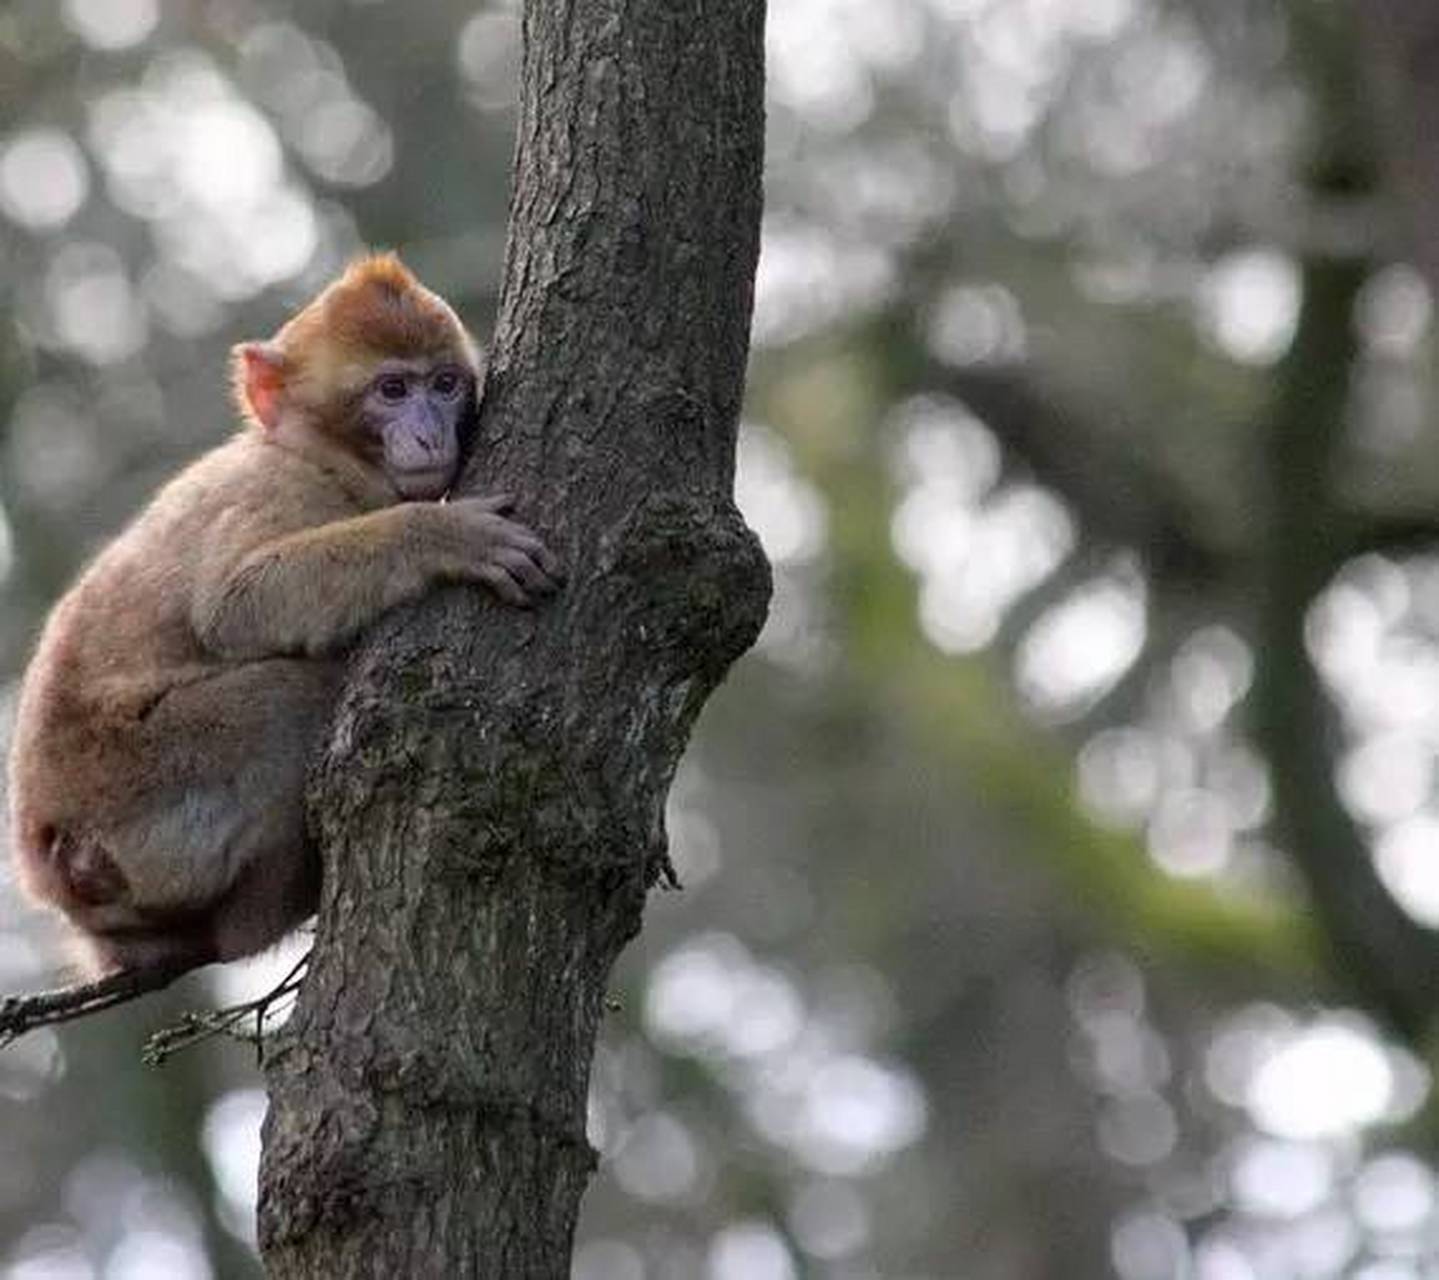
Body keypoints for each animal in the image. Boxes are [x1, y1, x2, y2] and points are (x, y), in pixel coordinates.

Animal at [7, 257, 561, 977]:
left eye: (443, 385)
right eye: (391, 389)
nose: (429, 432)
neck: (318, 458)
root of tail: (49, 865)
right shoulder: (277, 492)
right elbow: (235, 604)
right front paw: (440, 536)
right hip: (136, 792)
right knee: (292, 698)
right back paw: (268, 910)